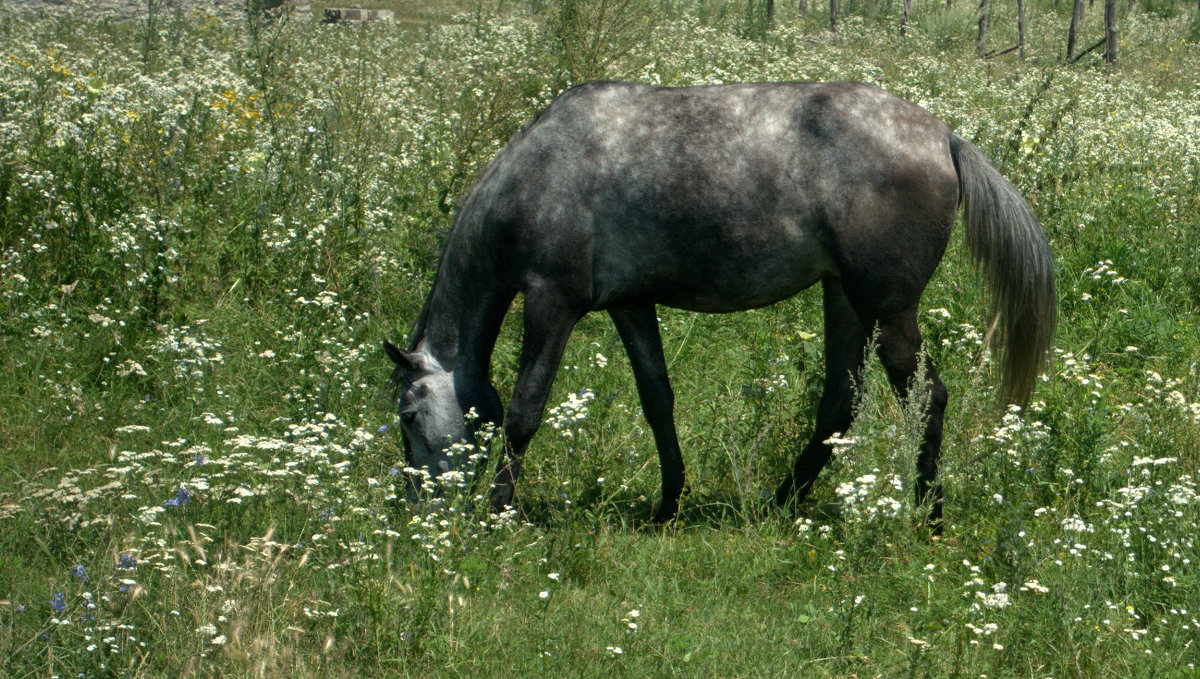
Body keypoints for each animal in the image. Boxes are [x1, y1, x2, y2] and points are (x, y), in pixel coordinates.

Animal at [386, 79, 1060, 527]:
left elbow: (525, 411)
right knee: (839, 404)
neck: (539, 169)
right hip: (844, 298)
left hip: (888, 310)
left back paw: (930, 518)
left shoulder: (553, 301)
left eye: (409, 416)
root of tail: (944, 138)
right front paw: (667, 504)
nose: (416, 508)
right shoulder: (631, 304)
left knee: (926, 398)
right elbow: (658, 401)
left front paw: (496, 512)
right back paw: (782, 504)